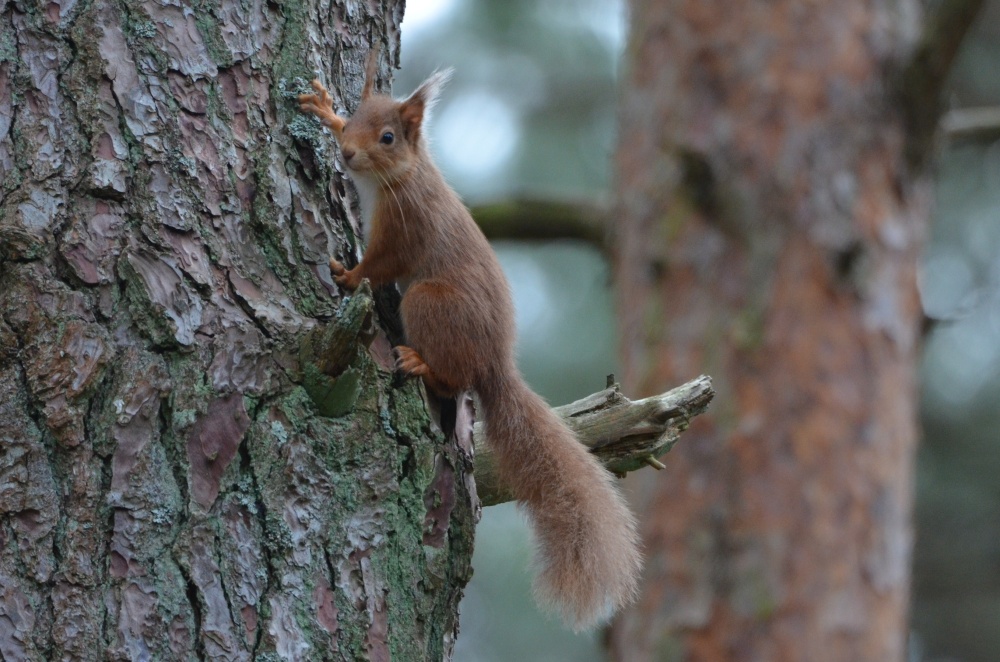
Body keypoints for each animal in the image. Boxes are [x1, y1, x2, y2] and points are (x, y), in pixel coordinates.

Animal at [298, 49, 641, 630]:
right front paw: (326, 111)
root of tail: (494, 365)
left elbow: (382, 263)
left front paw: (347, 275)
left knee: (451, 376)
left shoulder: (407, 227)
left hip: (427, 302)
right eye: (359, 117)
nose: (347, 154)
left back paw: (421, 364)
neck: (398, 177)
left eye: (388, 137)